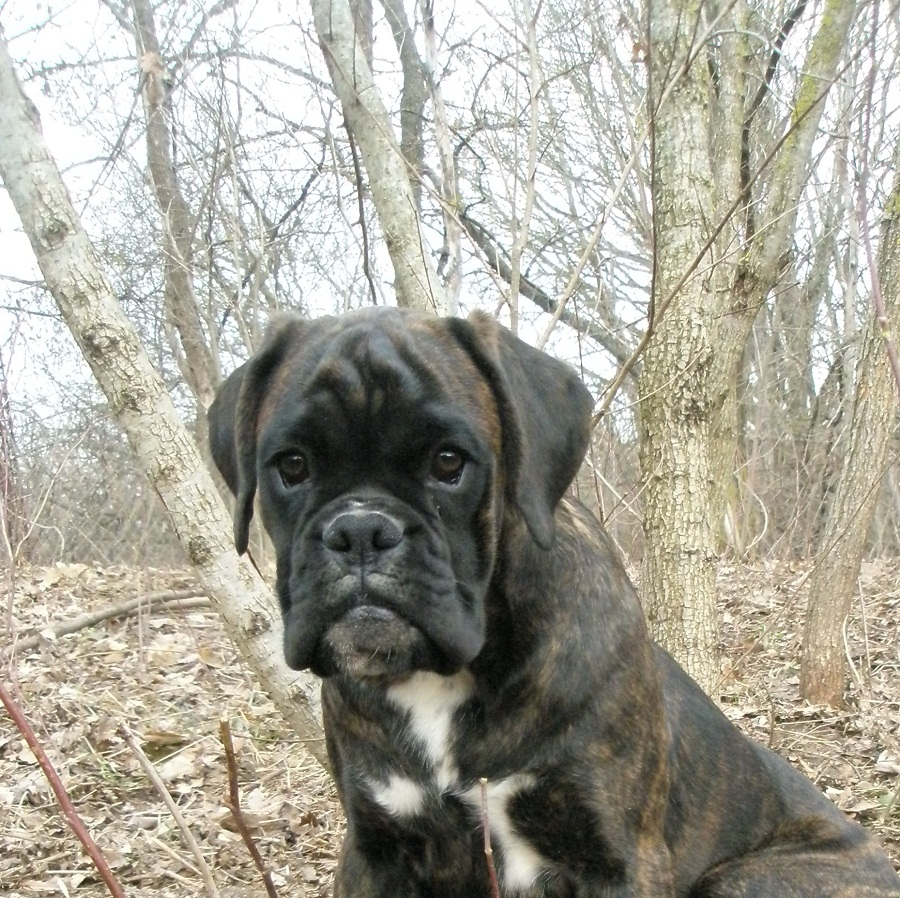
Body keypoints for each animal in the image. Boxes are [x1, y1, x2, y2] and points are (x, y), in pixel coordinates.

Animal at [208, 307, 900, 897]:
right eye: (291, 466)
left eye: (449, 462)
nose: (360, 530)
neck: (447, 680)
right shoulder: (377, 853)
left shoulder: (618, 861)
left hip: (742, 878)